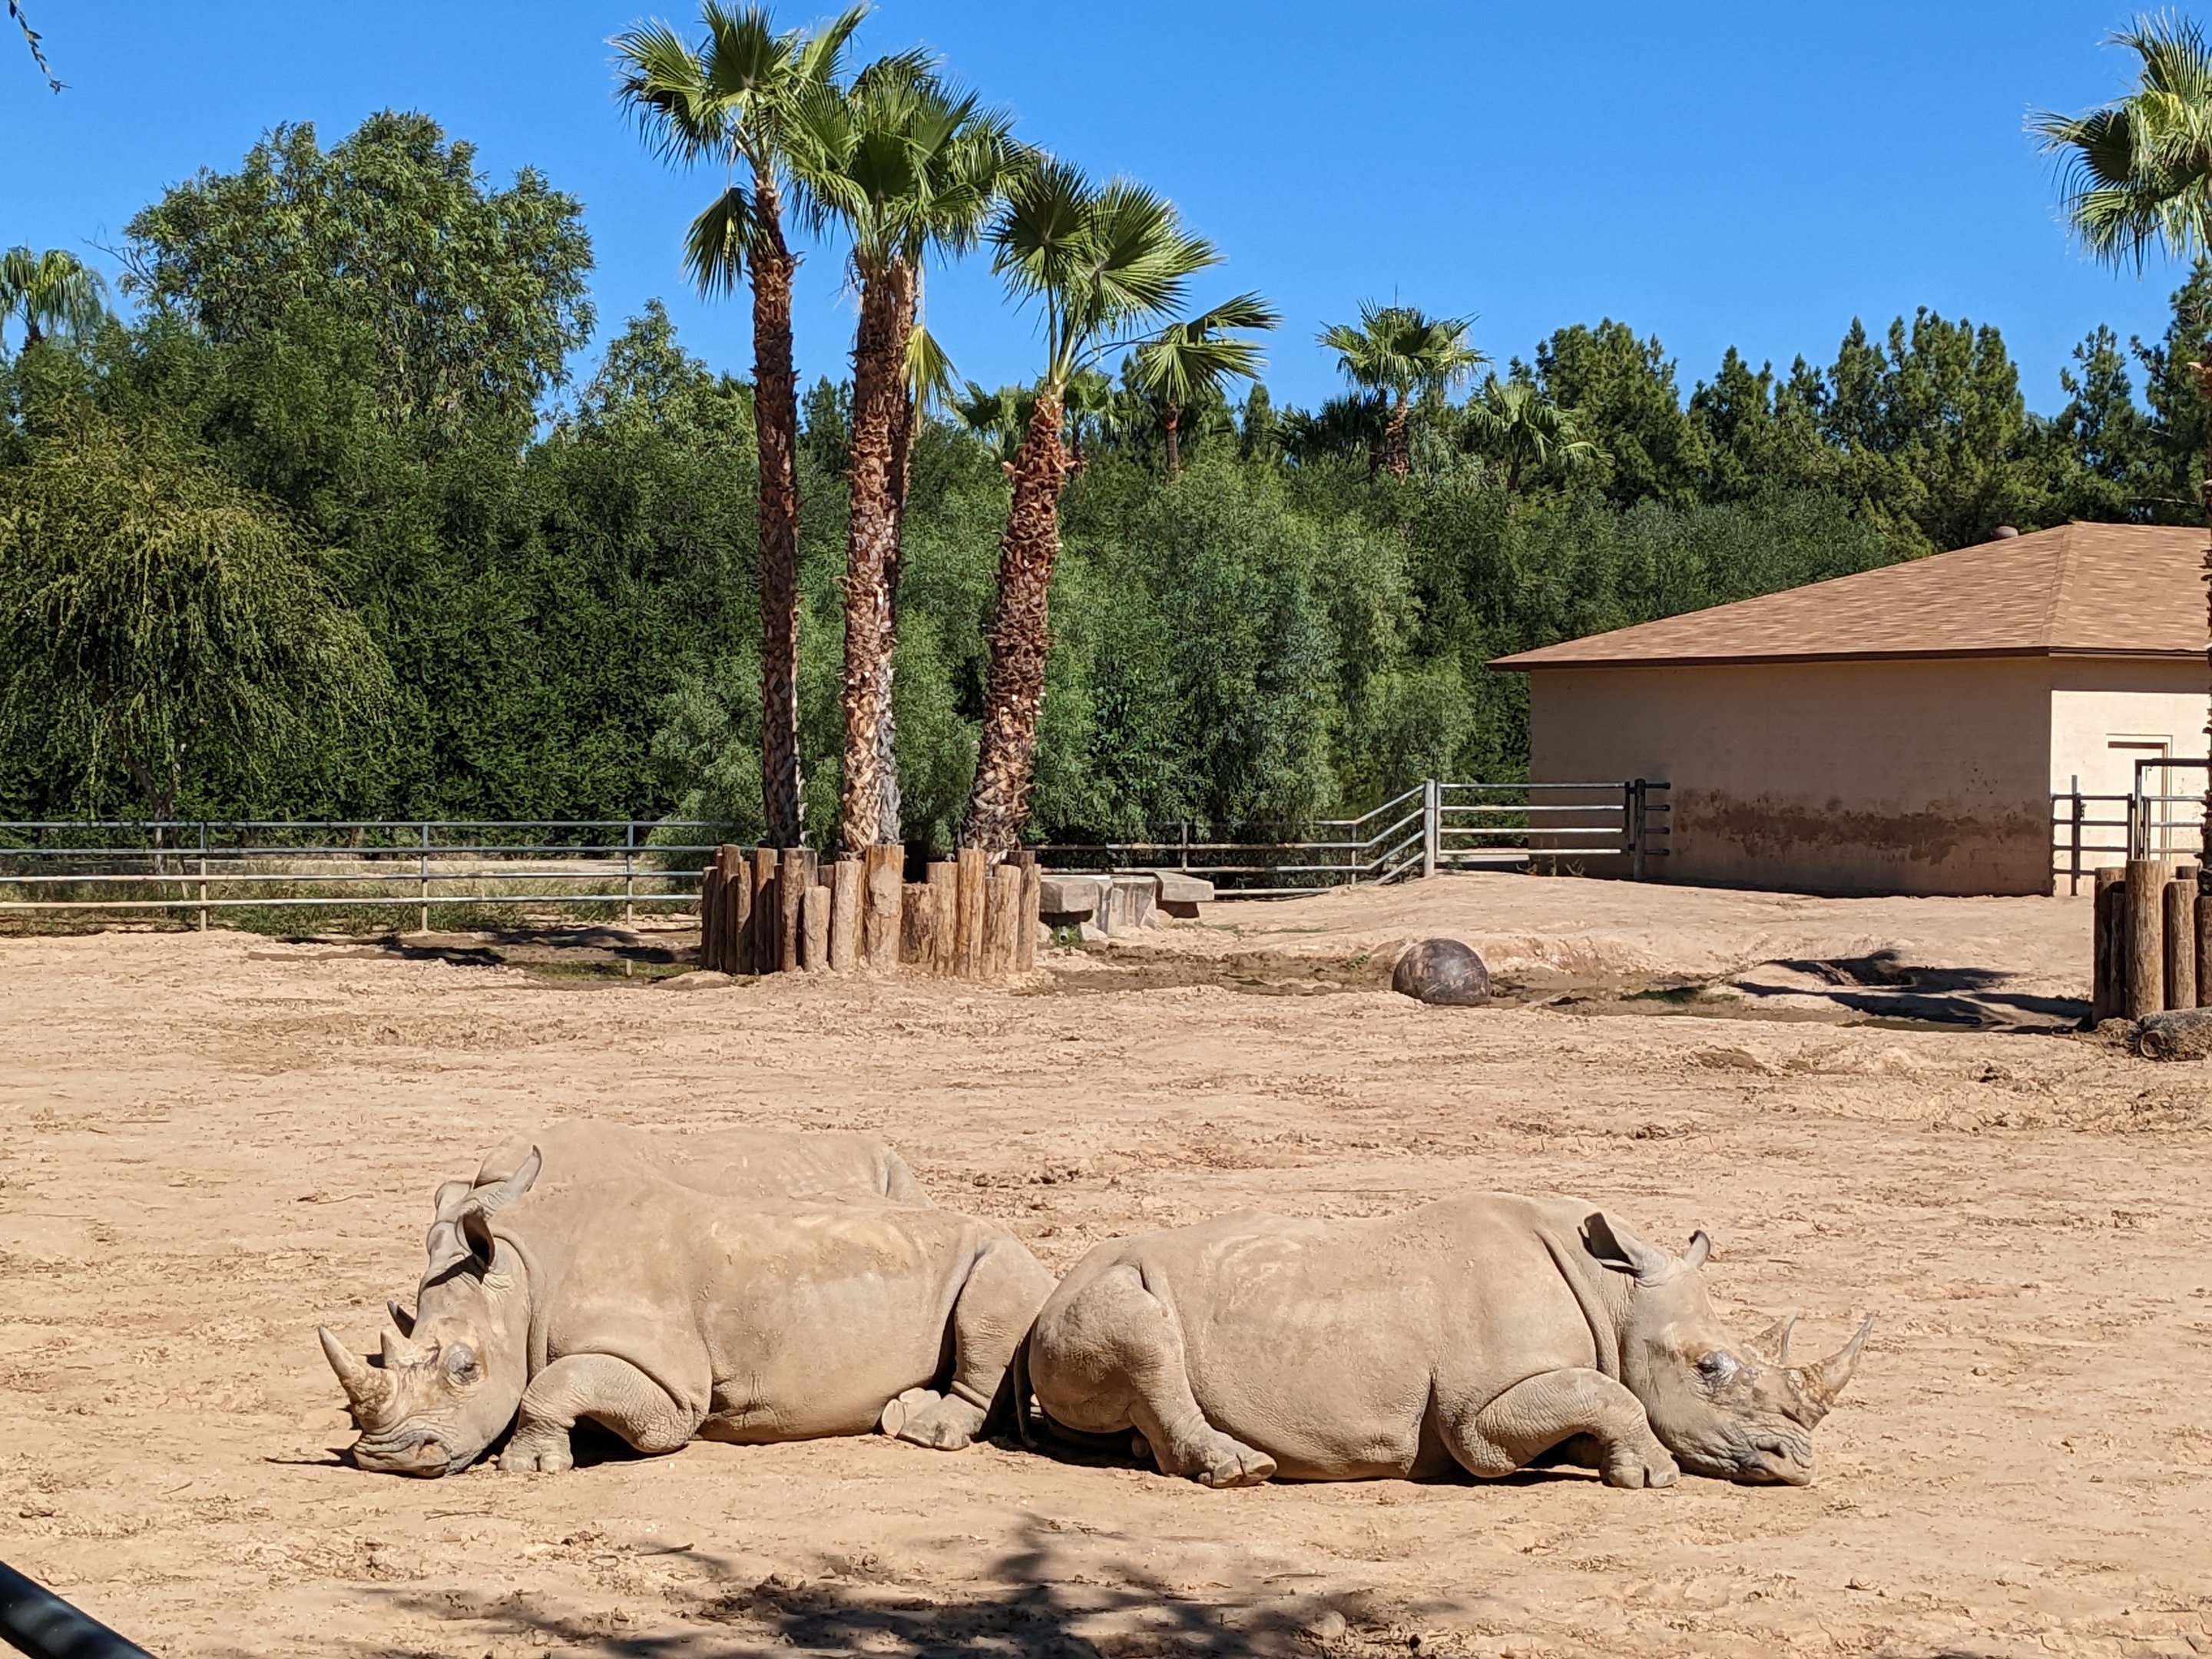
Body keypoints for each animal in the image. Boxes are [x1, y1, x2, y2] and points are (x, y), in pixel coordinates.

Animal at [320, 1151, 1053, 1477]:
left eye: (466, 1369)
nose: (387, 1459)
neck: (523, 1277)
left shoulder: (671, 1385)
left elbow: (553, 1383)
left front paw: (529, 1468)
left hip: (1004, 1254)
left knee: (992, 1304)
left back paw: (925, 1431)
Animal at [1021, 1194, 1869, 1489]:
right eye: (1709, 1367)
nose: (1798, 1464)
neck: (1616, 1294)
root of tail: (1053, 1288)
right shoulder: (1475, 1416)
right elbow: (1606, 1393)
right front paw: (1651, 1475)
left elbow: (1599, 1395)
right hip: (1095, 1292)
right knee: (1146, 1341)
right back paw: (1242, 1471)